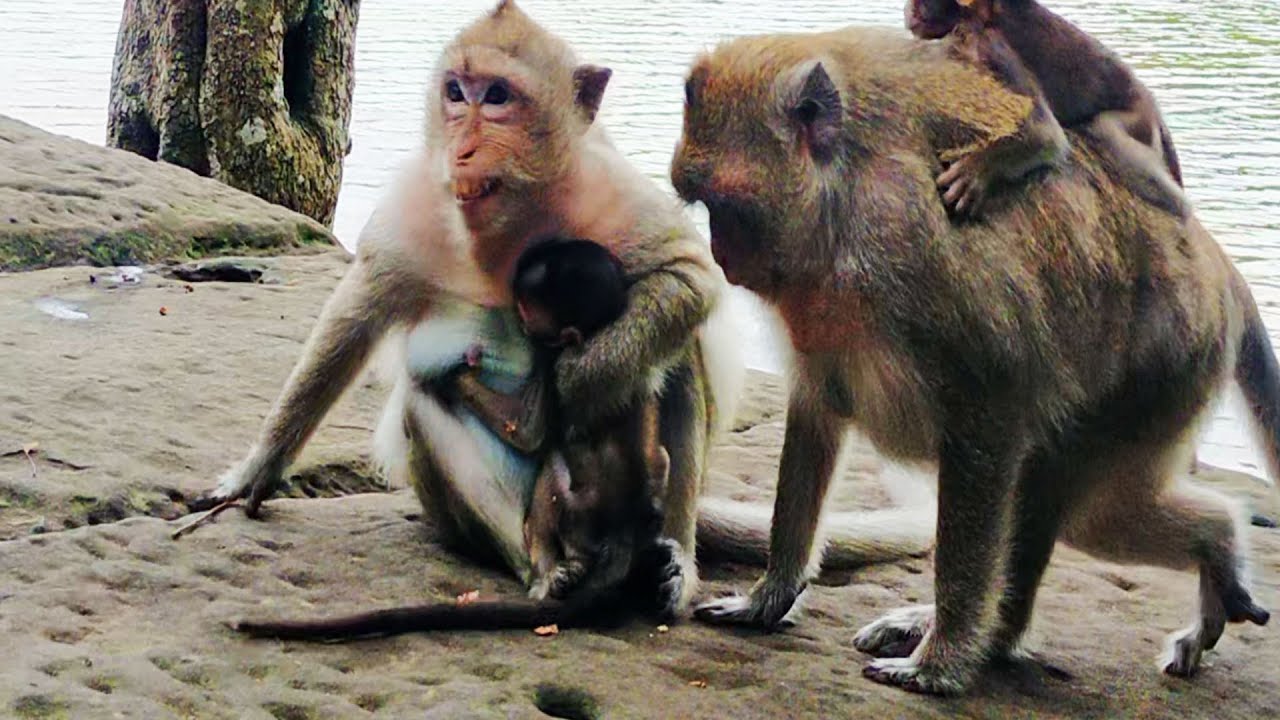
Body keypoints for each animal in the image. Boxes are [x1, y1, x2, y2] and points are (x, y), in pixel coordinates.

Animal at [192, 0, 937, 638]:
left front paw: (582, 378)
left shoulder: (606, 190)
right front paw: (256, 472)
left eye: (498, 97)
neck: (505, 223)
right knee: (430, 408)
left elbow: (688, 276)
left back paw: (671, 566)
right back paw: (547, 566)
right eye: (456, 91)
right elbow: (353, 322)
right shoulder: (418, 208)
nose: (463, 144)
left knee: (676, 357)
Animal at [671, 26, 1275, 695]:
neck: (847, 199)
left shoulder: (916, 250)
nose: (722, 254)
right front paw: (769, 598)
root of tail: (1218, 266)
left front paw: (940, 663)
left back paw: (1216, 547)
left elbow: (990, 418)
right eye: (702, 205)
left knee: (1096, 511)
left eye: (727, 208)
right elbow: (816, 413)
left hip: (1168, 371)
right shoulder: (816, 312)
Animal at [905, 0, 1188, 219]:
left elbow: (1043, 134)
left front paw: (978, 169)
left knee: (1103, 128)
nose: (910, 8)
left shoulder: (991, 46)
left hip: (1139, 119)